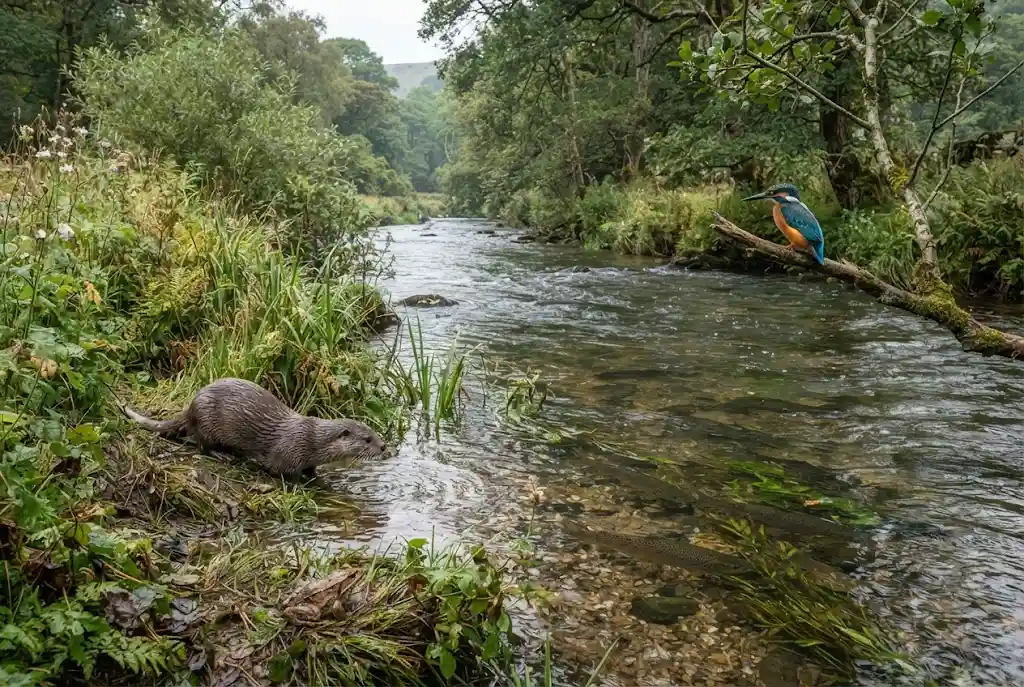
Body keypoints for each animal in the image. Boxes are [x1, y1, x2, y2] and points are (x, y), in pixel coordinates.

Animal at [121, 378, 387, 477]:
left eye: (375, 433)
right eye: (367, 439)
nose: (384, 446)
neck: (312, 441)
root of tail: (190, 407)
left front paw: (317, 477)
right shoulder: (289, 454)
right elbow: (282, 472)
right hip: (207, 420)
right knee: (201, 445)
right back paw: (223, 455)